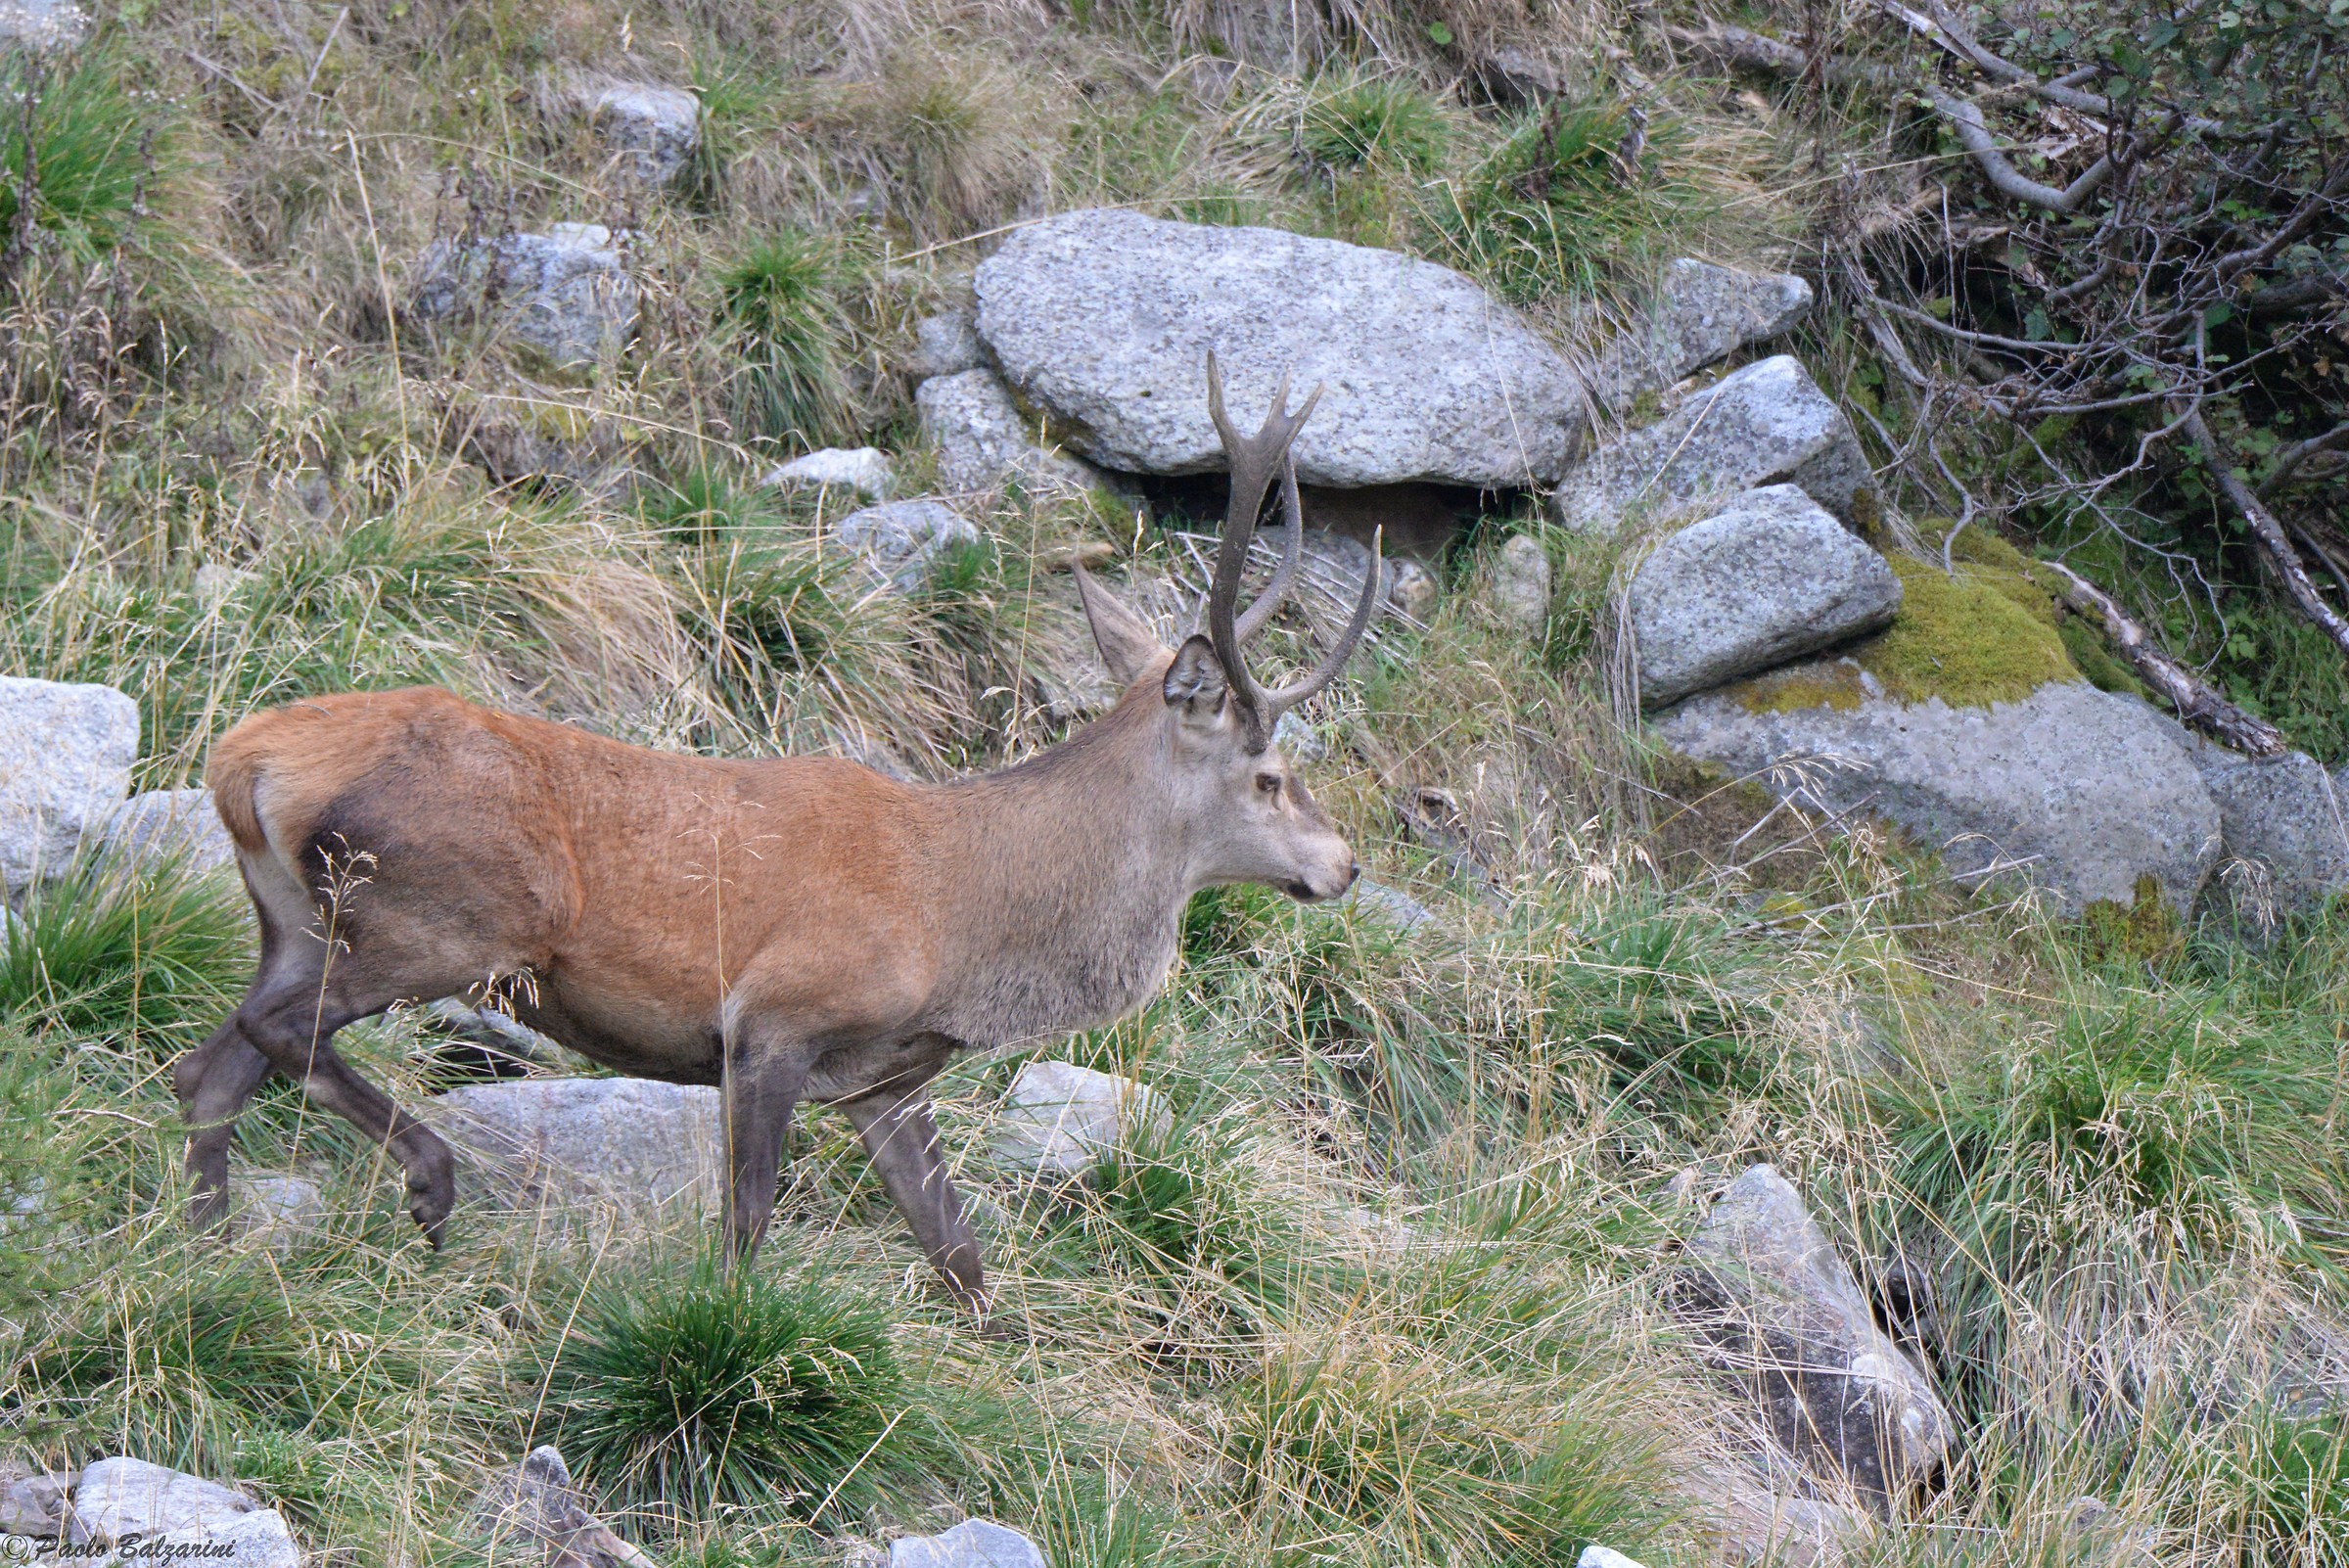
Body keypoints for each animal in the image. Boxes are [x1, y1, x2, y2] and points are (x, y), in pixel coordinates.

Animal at [172, 355, 1381, 1314]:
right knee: (274, 1034)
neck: (960, 923)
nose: (1346, 863)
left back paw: (208, 1252)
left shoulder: (885, 1078)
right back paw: (427, 1180)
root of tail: (247, 762)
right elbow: (747, 1222)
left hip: (297, 918)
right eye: (1271, 778)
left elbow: (962, 1256)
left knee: (211, 1068)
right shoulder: (774, 1019)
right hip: (441, 915)